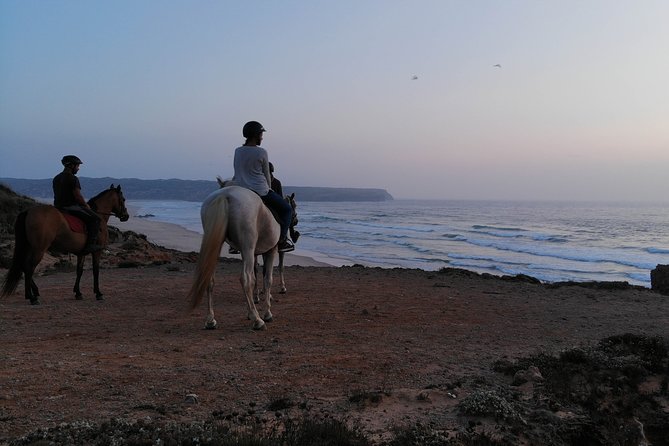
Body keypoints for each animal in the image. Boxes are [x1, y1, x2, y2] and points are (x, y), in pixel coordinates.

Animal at [1, 183, 130, 304]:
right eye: (123, 199)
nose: (126, 216)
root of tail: (29, 211)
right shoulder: (97, 251)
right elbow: (95, 270)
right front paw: (98, 293)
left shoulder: (81, 253)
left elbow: (79, 271)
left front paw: (78, 293)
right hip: (39, 249)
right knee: (29, 267)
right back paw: (32, 297)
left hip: (29, 247)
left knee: (24, 266)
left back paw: (35, 292)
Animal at [185, 185, 294, 332]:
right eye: (293, 206)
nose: (295, 221)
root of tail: (226, 194)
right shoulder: (270, 251)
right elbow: (267, 280)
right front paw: (267, 313)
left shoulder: (251, 253)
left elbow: (258, 277)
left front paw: (251, 309)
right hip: (248, 246)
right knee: (246, 279)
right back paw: (257, 320)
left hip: (216, 243)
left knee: (210, 279)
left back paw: (210, 320)